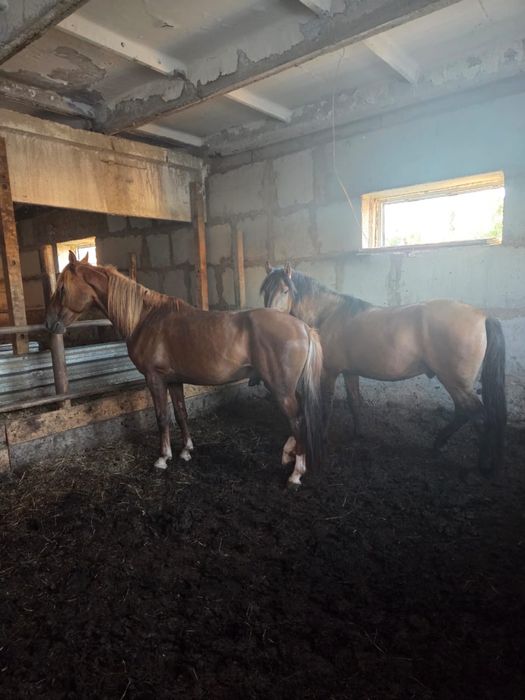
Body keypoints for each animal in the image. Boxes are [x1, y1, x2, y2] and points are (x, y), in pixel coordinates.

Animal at [45, 252, 324, 487]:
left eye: (62, 288)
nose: (49, 324)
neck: (145, 318)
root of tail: (303, 328)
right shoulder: (174, 380)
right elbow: (181, 414)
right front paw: (186, 451)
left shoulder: (155, 379)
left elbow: (162, 418)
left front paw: (162, 458)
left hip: (282, 390)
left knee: (297, 421)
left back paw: (296, 473)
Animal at [261, 262, 507, 474]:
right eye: (264, 290)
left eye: (285, 290)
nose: (269, 321)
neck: (328, 314)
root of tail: (482, 316)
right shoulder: (350, 372)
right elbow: (354, 401)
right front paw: (358, 433)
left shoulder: (330, 373)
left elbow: (327, 405)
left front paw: (322, 436)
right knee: (465, 412)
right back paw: (439, 445)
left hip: (455, 382)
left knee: (477, 415)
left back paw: (481, 465)